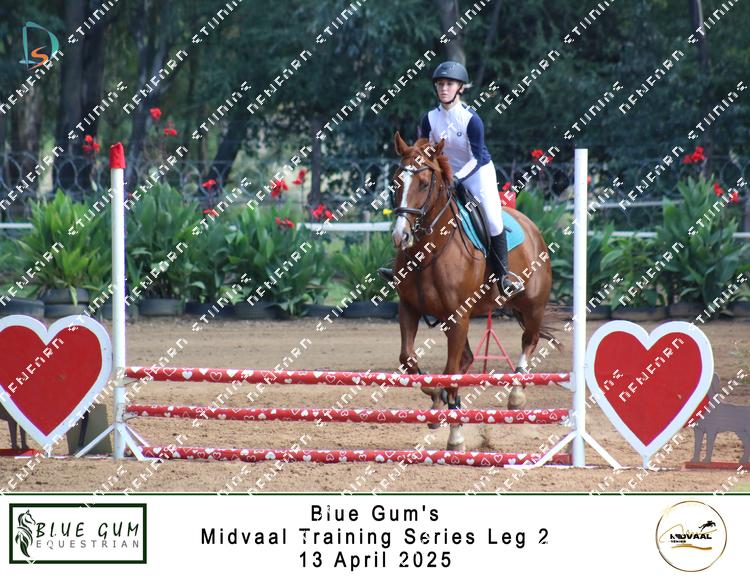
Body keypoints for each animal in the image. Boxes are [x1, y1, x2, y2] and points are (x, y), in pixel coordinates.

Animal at [389, 132, 559, 450]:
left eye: (424, 183)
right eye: (396, 181)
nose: (400, 236)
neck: (429, 251)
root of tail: (531, 226)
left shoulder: (459, 317)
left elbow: (451, 372)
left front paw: (455, 436)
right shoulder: (410, 308)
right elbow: (409, 359)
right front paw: (436, 398)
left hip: (532, 306)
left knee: (528, 340)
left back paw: (516, 395)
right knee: (467, 358)